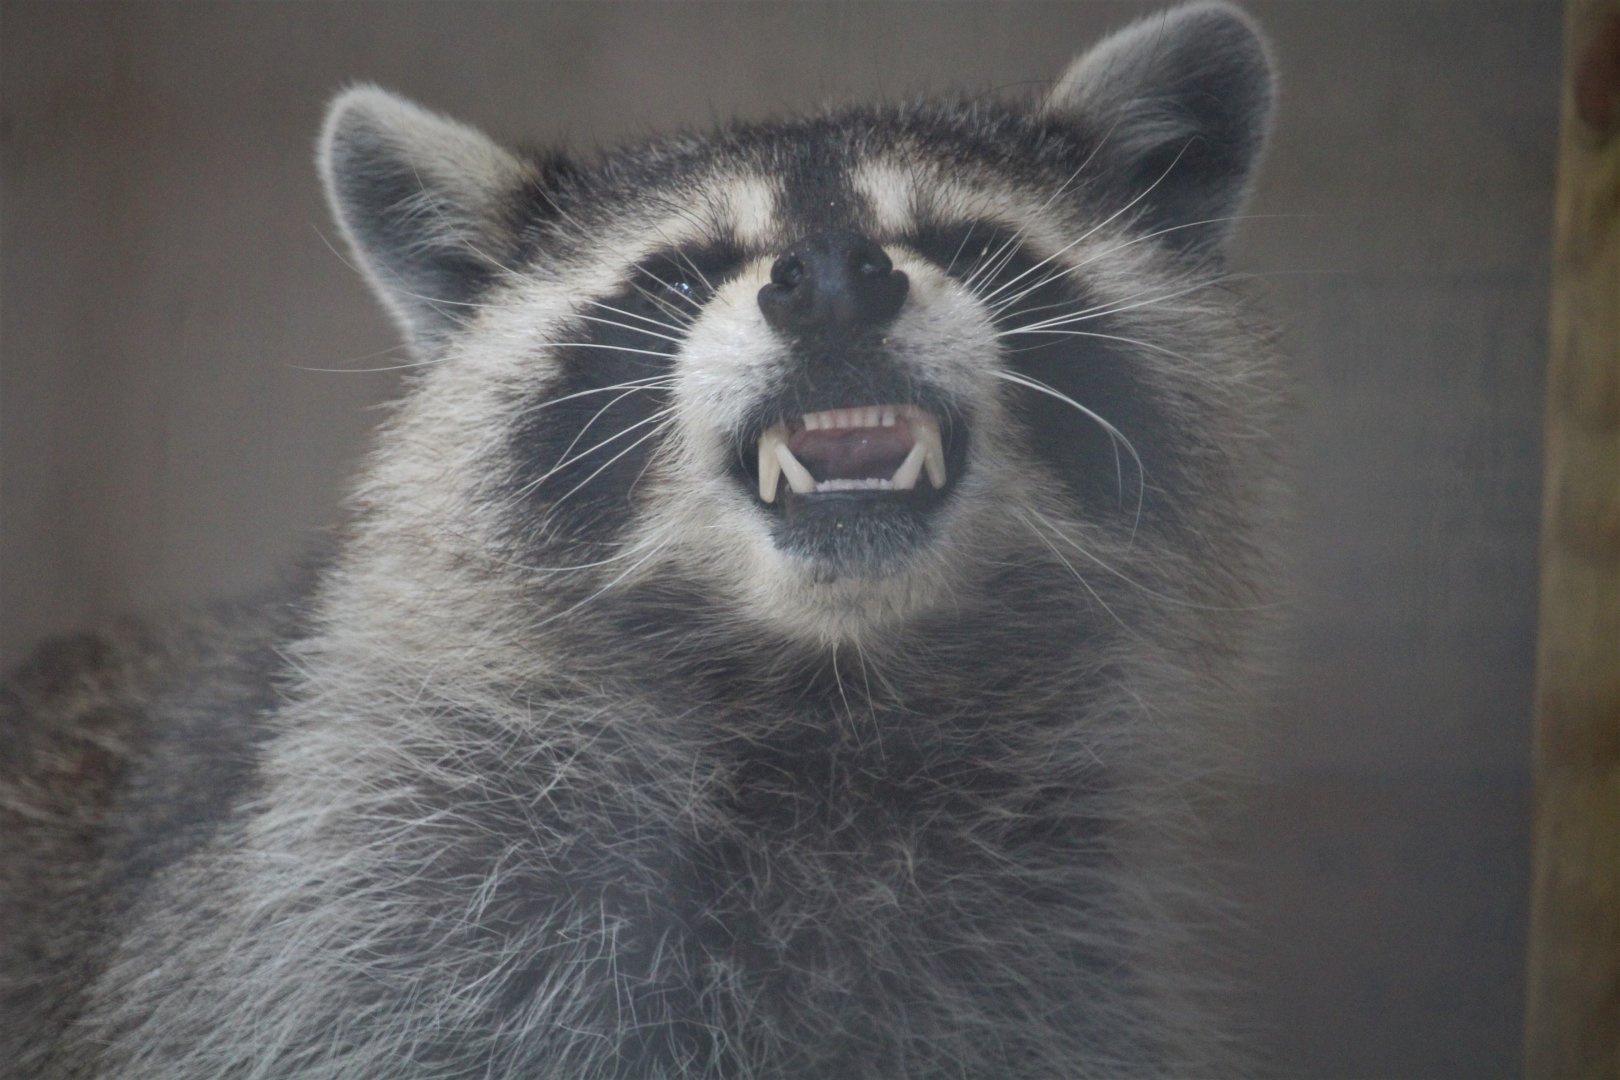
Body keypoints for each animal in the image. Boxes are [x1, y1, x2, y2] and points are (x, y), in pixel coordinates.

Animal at [1, 3, 1282, 1077]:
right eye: (682, 274)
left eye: (965, 242)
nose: (831, 279)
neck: (827, 680)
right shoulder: (368, 910)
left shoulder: (1050, 950)